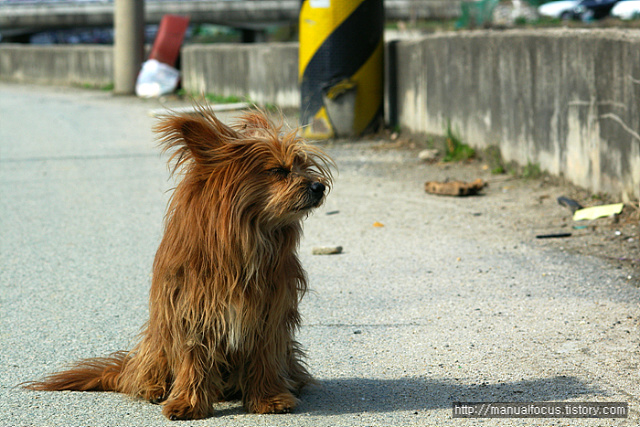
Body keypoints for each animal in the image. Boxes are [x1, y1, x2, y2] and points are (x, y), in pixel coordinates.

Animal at [23, 107, 336, 422]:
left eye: (304, 165)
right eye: (278, 170)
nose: (319, 186)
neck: (248, 236)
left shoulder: (270, 313)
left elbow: (265, 356)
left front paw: (269, 398)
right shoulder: (191, 306)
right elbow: (193, 357)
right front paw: (188, 402)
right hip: (157, 339)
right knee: (141, 374)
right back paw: (154, 387)